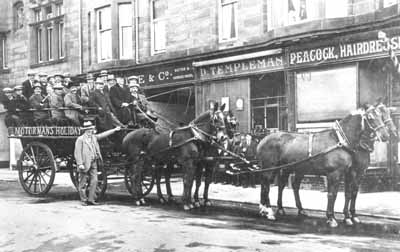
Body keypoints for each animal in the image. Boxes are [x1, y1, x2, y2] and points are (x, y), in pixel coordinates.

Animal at [256, 105, 390, 227]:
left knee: (281, 185)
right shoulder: (334, 174)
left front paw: (347, 217)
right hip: (271, 168)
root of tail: (262, 140)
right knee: (267, 186)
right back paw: (269, 212)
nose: (385, 135)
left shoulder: (348, 173)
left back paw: (279, 209)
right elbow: (332, 194)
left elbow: (348, 193)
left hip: (289, 168)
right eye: (370, 118)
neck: (340, 140)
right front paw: (331, 218)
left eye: (381, 116)